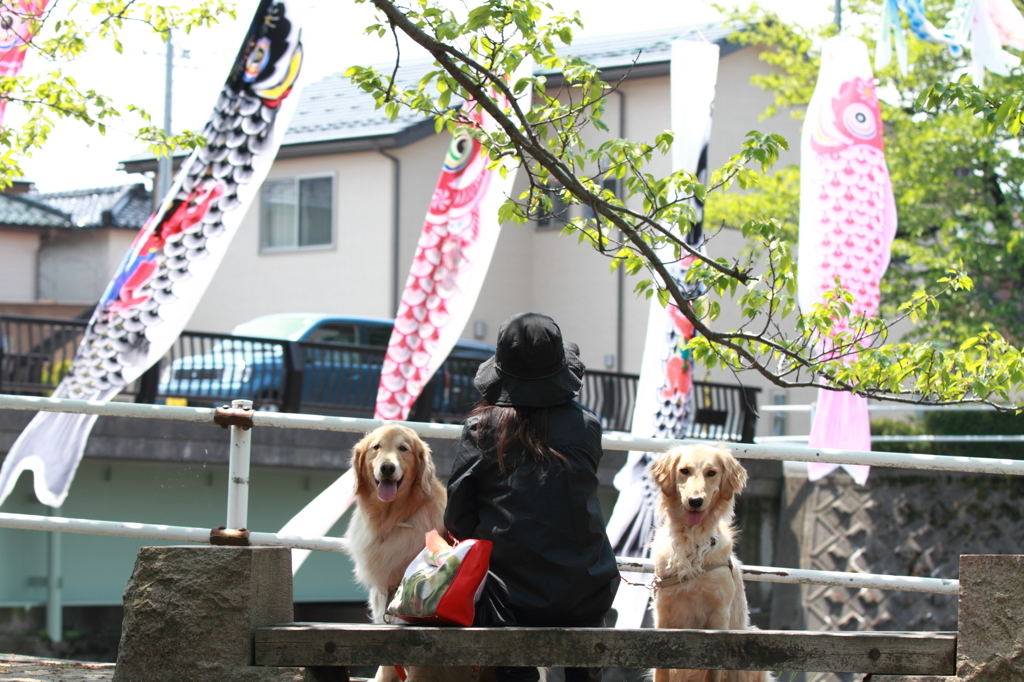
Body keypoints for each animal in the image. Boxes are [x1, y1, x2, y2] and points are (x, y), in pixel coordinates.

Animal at [651, 440, 770, 679]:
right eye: (684, 470)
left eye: (711, 473)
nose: (695, 501)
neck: (692, 544)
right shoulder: (662, 613)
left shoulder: (718, 616)